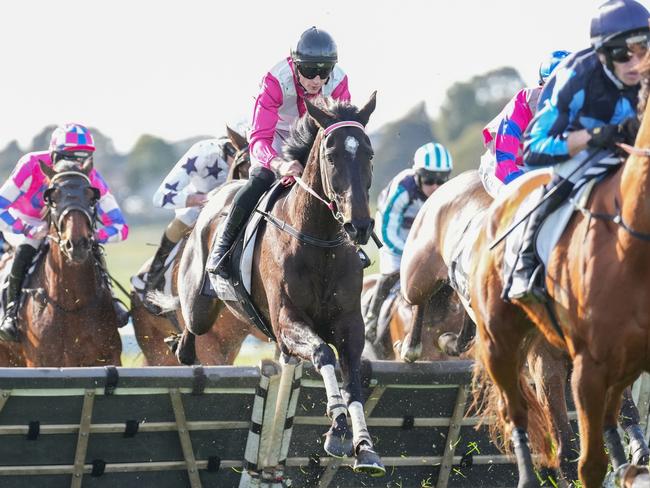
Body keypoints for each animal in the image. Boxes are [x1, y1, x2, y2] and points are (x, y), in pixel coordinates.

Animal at [170, 94, 388, 476]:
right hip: (199, 305)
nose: (359, 225)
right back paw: (182, 346)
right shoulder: (287, 321)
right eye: (331, 155)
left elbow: (353, 381)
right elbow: (322, 353)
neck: (320, 241)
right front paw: (337, 428)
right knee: (190, 329)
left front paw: (364, 446)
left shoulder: (350, 324)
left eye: (369, 153)